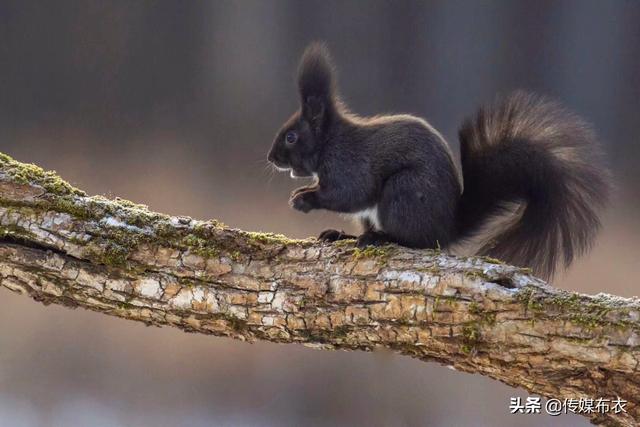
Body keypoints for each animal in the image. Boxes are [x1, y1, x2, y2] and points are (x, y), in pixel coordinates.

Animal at [266, 41, 608, 280]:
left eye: (291, 137)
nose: (270, 157)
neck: (330, 143)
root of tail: (447, 228)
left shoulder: (349, 164)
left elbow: (349, 194)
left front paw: (304, 199)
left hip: (403, 192)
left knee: (415, 242)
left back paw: (380, 238)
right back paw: (345, 235)